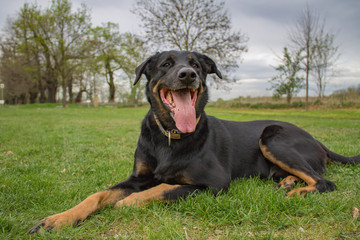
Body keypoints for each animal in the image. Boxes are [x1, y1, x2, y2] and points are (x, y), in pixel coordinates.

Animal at [28, 50, 360, 232]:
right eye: (165, 64)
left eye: (197, 65)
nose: (188, 74)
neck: (169, 137)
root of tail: (318, 140)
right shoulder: (136, 177)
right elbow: (96, 195)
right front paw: (57, 220)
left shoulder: (212, 184)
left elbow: (164, 187)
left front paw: (129, 202)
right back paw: (289, 183)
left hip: (272, 137)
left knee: (325, 181)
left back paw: (297, 191)